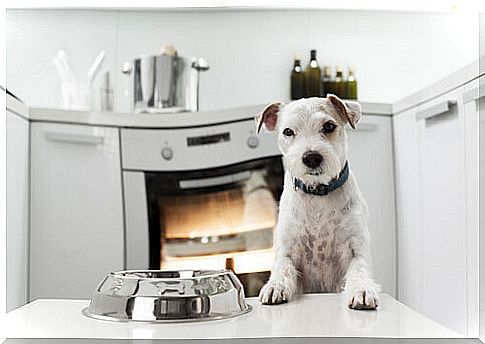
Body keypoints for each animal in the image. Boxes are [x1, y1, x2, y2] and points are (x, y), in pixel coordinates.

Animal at [255, 95, 380, 310]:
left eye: (328, 126)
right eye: (288, 131)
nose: (311, 157)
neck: (317, 193)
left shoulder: (357, 247)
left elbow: (359, 269)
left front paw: (362, 290)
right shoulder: (286, 251)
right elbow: (282, 267)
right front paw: (275, 286)